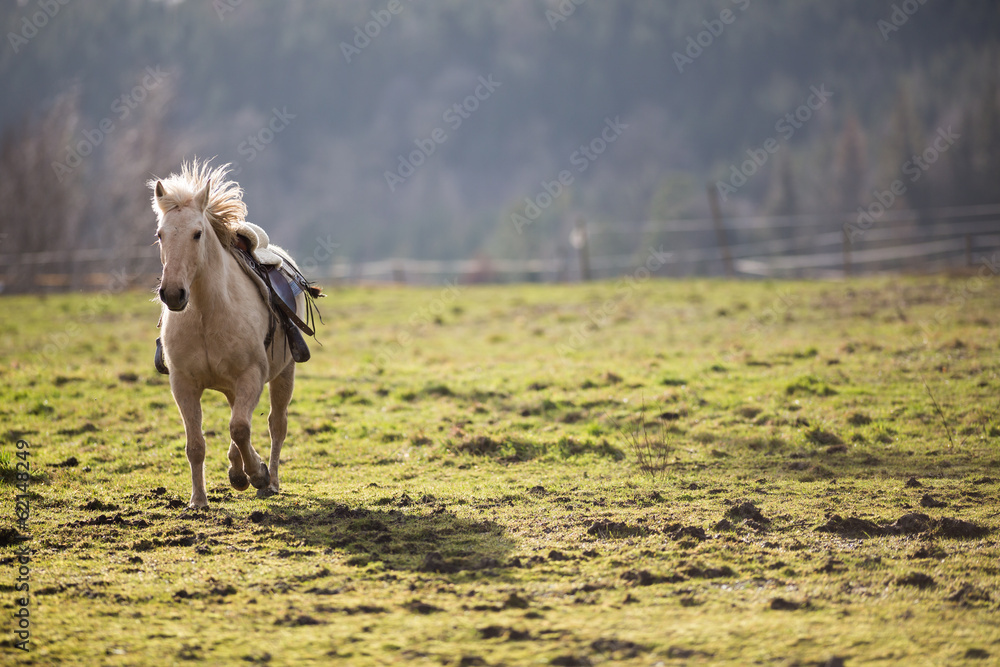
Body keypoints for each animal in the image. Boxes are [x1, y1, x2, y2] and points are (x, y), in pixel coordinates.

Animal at [150, 160, 315, 509]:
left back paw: (270, 480)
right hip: (231, 387)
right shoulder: (183, 384)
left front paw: (258, 474)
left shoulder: (251, 377)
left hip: (284, 374)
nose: (172, 294)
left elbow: (240, 428)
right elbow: (196, 444)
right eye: (160, 235)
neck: (206, 314)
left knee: (275, 425)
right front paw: (198, 500)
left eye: (197, 233)